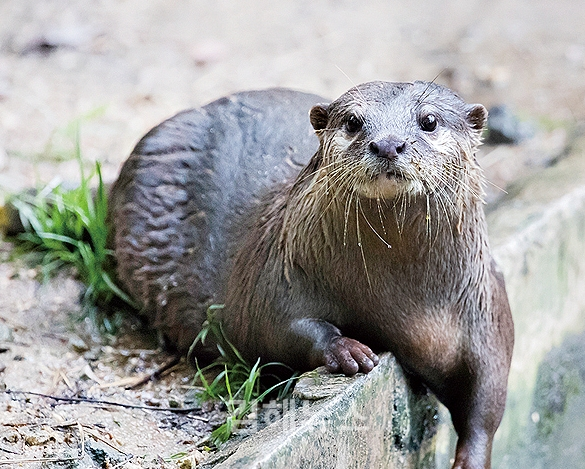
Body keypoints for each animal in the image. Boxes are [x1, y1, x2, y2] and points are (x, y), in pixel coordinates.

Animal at [108, 82, 512, 468]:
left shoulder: (485, 308)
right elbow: (274, 327)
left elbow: (488, 393)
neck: (407, 307)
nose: (387, 144)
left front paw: (472, 459)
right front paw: (347, 349)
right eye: (353, 121)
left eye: (429, 120)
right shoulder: (277, 274)